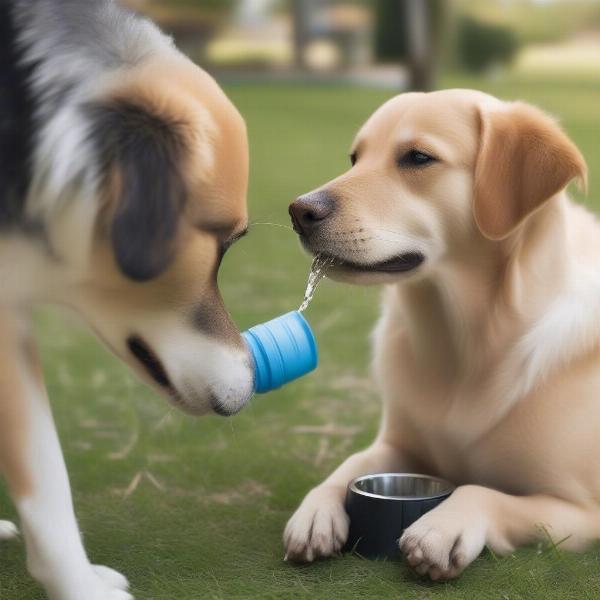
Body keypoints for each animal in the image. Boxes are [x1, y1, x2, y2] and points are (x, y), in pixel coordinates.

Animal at [284, 90, 596, 580]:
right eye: (355, 158)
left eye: (418, 158)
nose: (299, 211)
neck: (470, 336)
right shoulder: (395, 443)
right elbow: (351, 464)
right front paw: (315, 510)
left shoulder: (582, 510)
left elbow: (483, 492)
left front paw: (443, 527)